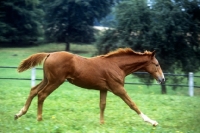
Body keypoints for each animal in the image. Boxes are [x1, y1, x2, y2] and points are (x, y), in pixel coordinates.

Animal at [13, 47, 164, 125]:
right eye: (156, 64)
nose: (162, 79)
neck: (116, 65)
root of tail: (49, 53)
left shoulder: (104, 89)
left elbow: (102, 105)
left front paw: (102, 124)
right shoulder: (118, 89)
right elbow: (132, 104)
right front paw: (151, 121)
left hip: (47, 79)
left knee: (33, 91)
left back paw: (19, 114)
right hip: (55, 81)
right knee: (42, 94)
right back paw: (39, 118)